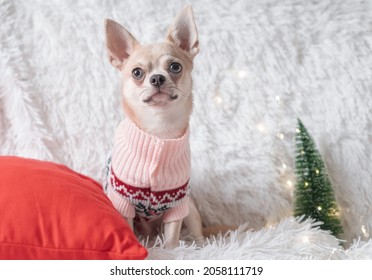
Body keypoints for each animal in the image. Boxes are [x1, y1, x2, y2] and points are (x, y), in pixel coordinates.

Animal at [104, 6, 203, 247]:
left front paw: (171, 250)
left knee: (197, 232)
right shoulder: (123, 202)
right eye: (137, 72)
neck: (158, 132)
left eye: (175, 67)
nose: (157, 78)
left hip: (191, 209)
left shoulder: (177, 204)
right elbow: (128, 227)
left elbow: (172, 237)